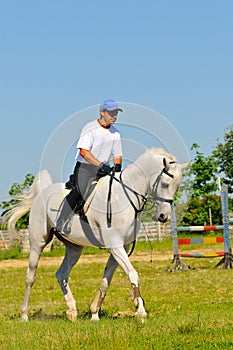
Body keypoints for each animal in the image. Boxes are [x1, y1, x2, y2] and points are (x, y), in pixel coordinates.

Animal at [6, 146, 187, 322]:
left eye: (177, 187)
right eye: (165, 184)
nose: (163, 216)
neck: (125, 197)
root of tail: (42, 193)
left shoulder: (121, 247)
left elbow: (106, 280)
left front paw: (94, 313)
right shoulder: (115, 246)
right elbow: (132, 273)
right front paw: (140, 311)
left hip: (74, 248)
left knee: (61, 274)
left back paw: (72, 311)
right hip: (38, 243)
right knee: (31, 276)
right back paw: (24, 315)